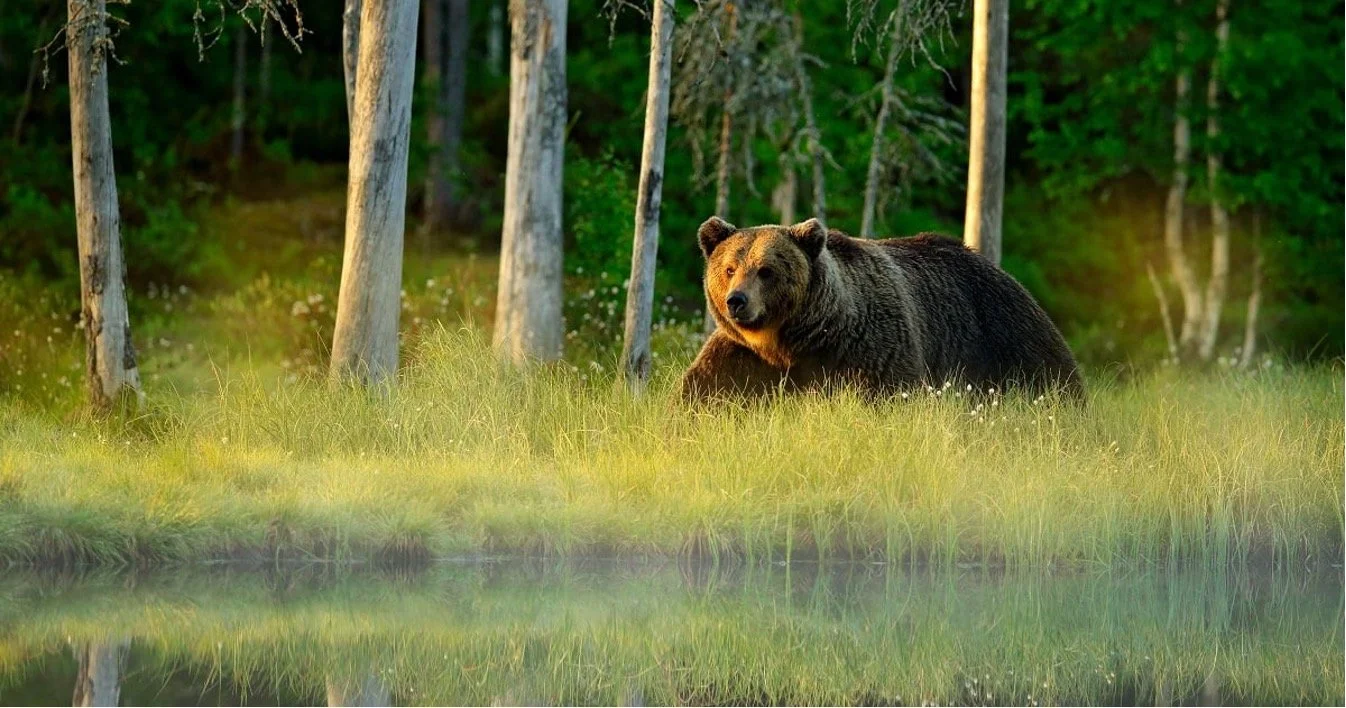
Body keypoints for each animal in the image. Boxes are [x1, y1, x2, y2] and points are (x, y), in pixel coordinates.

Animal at [679, 216, 1083, 402]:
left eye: (766, 270)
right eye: (729, 268)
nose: (737, 301)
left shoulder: (867, 345)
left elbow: (887, 393)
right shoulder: (743, 357)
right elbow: (705, 393)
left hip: (1003, 332)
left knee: (1048, 375)